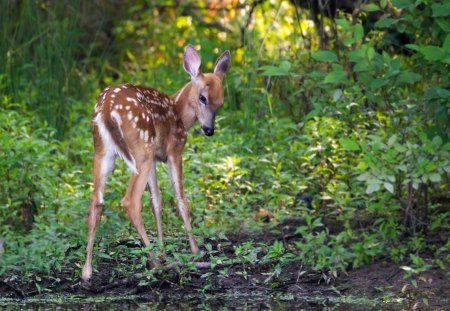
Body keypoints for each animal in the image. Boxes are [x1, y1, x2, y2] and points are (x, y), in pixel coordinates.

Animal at [80, 45, 232, 284]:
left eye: (221, 102)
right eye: (203, 98)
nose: (209, 130)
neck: (179, 114)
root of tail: (105, 109)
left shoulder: (154, 160)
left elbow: (157, 202)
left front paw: (163, 249)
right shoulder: (174, 150)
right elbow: (180, 198)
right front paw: (195, 251)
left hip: (104, 151)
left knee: (96, 200)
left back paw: (87, 271)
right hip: (141, 150)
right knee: (130, 201)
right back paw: (154, 262)